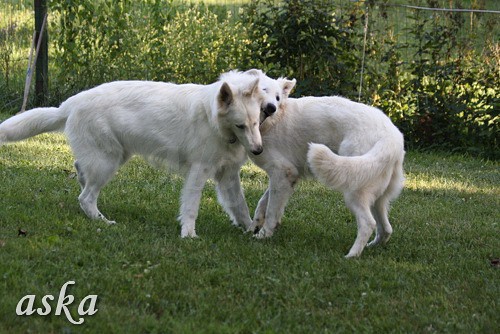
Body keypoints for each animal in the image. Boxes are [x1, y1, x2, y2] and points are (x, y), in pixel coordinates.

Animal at [0, 72, 266, 237]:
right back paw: (103, 222)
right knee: (85, 197)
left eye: (255, 122)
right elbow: (191, 207)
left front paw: (251, 229)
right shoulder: (198, 172)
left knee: (81, 174)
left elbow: (240, 205)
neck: (214, 121)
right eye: (240, 125)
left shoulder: (228, 175)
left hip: (113, 157)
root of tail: (69, 104)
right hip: (107, 163)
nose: (258, 150)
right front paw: (189, 234)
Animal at [250, 87, 406, 258]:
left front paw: (263, 235)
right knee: (386, 229)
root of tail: (391, 138)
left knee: (368, 224)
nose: (271, 109)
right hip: (378, 198)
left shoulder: (281, 173)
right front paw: (254, 226)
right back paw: (372, 246)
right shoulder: (285, 179)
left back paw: (351, 256)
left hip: (353, 190)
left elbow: (271, 210)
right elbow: (263, 202)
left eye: (277, 97)